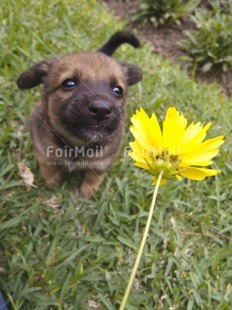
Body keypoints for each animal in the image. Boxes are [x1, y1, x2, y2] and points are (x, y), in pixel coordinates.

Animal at [17, 31, 141, 199]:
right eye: (69, 83)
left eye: (117, 90)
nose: (101, 110)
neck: (77, 145)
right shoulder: (43, 152)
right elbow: (48, 168)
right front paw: (52, 182)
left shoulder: (102, 162)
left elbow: (93, 177)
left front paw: (87, 193)